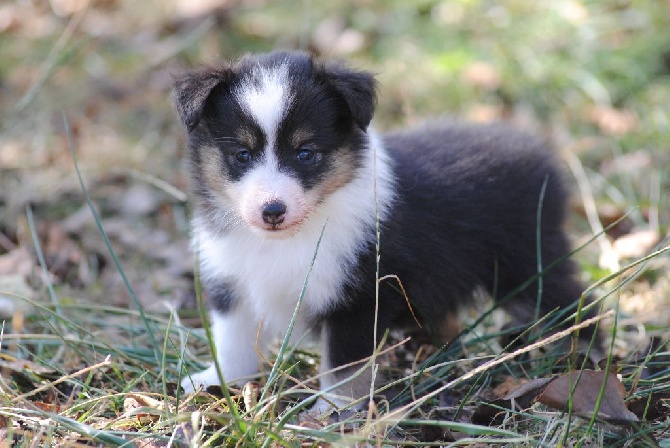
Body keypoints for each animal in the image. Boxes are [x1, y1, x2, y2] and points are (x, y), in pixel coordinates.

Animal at [173, 50, 600, 410]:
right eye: (241, 155)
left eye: (305, 153)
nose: (272, 211)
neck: (288, 238)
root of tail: (540, 155)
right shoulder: (233, 280)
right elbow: (233, 339)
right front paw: (215, 382)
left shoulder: (361, 295)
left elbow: (344, 365)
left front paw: (332, 414)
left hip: (529, 263)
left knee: (570, 300)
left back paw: (580, 356)